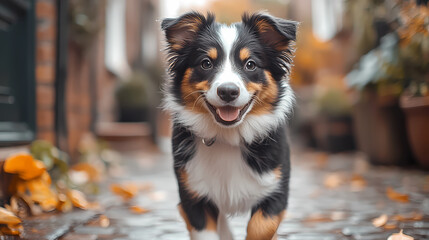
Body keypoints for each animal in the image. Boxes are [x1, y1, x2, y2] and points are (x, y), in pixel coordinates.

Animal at [160, 11, 298, 240]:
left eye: (250, 64)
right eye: (206, 63)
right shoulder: (192, 194)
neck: (228, 136)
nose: (228, 91)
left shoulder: (277, 187)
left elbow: (262, 227)